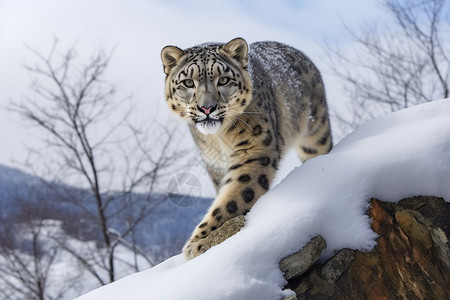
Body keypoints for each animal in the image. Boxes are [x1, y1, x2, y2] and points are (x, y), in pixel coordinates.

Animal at [160, 37, 332, 258]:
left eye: (223, 80)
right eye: (188, 82)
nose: (207, 108)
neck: (218, 141)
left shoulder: (255, 153)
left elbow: (233, 198)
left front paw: (197, 244)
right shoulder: (214, 165)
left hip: (316, 134)